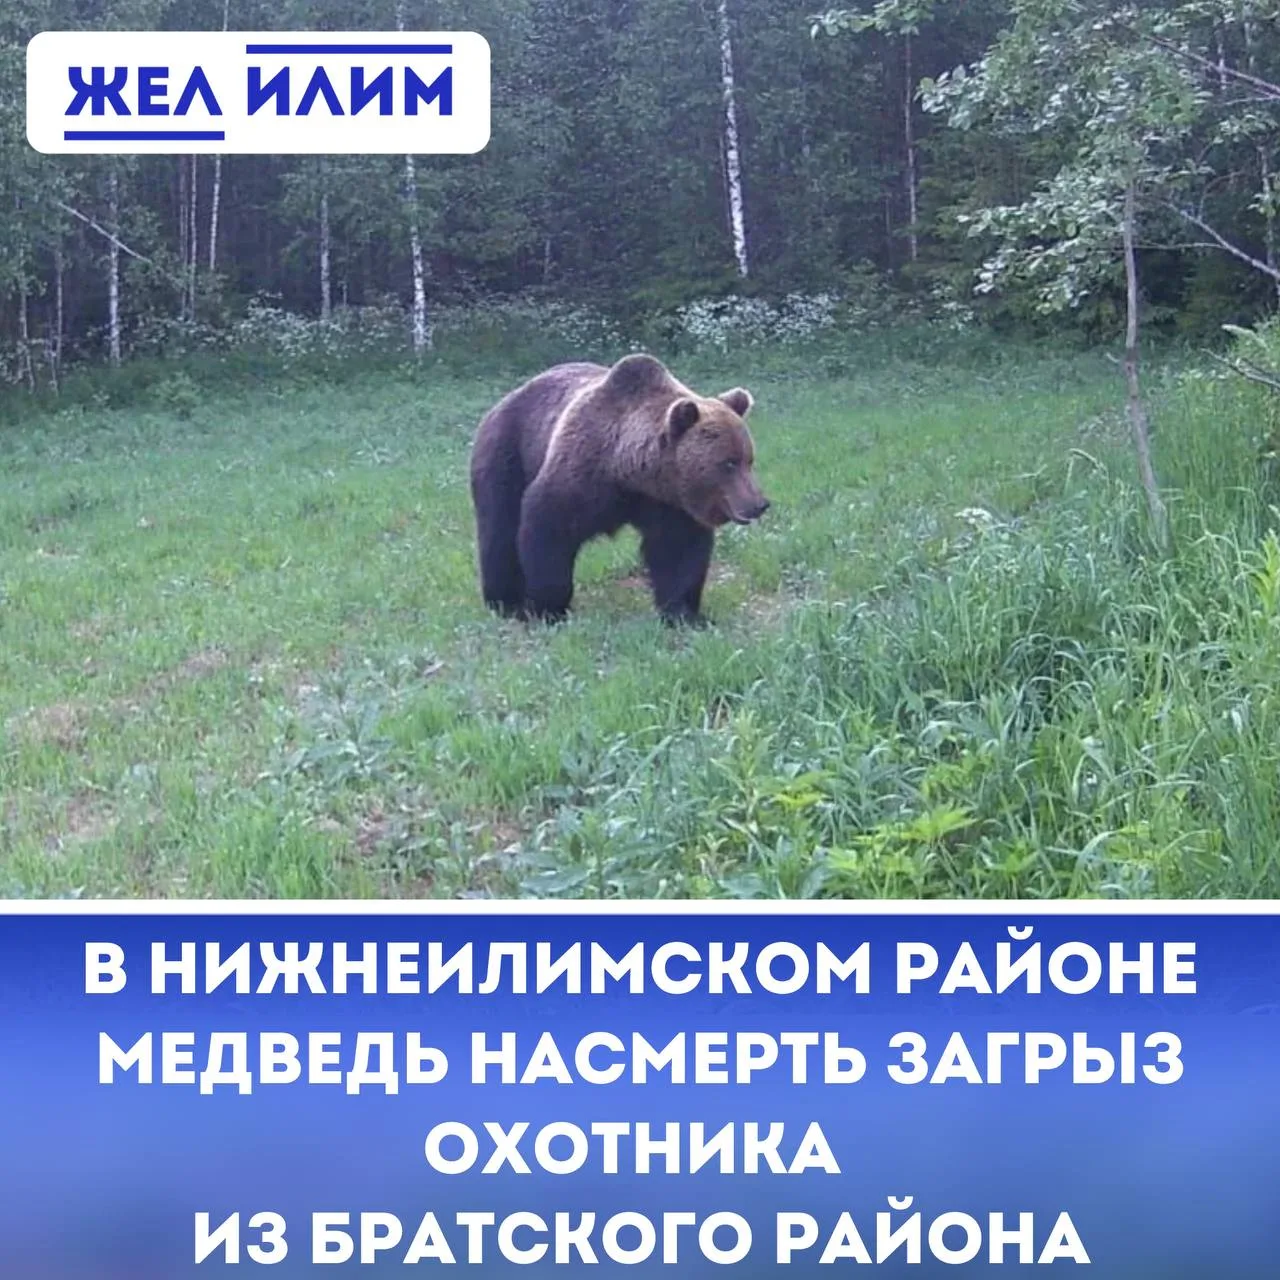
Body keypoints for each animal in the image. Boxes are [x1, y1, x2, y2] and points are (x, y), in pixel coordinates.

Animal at [469, 352, 769, 626]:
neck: (629, 473)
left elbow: (679, 552)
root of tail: (507, 398)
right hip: (507, 453)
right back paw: (505, 602)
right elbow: (547, 529)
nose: (759, 504)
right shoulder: (579, 477)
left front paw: (685, 614)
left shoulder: (668, 503)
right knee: (499, 528)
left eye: (749, 460)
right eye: (728, 463)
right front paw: (548, 609)